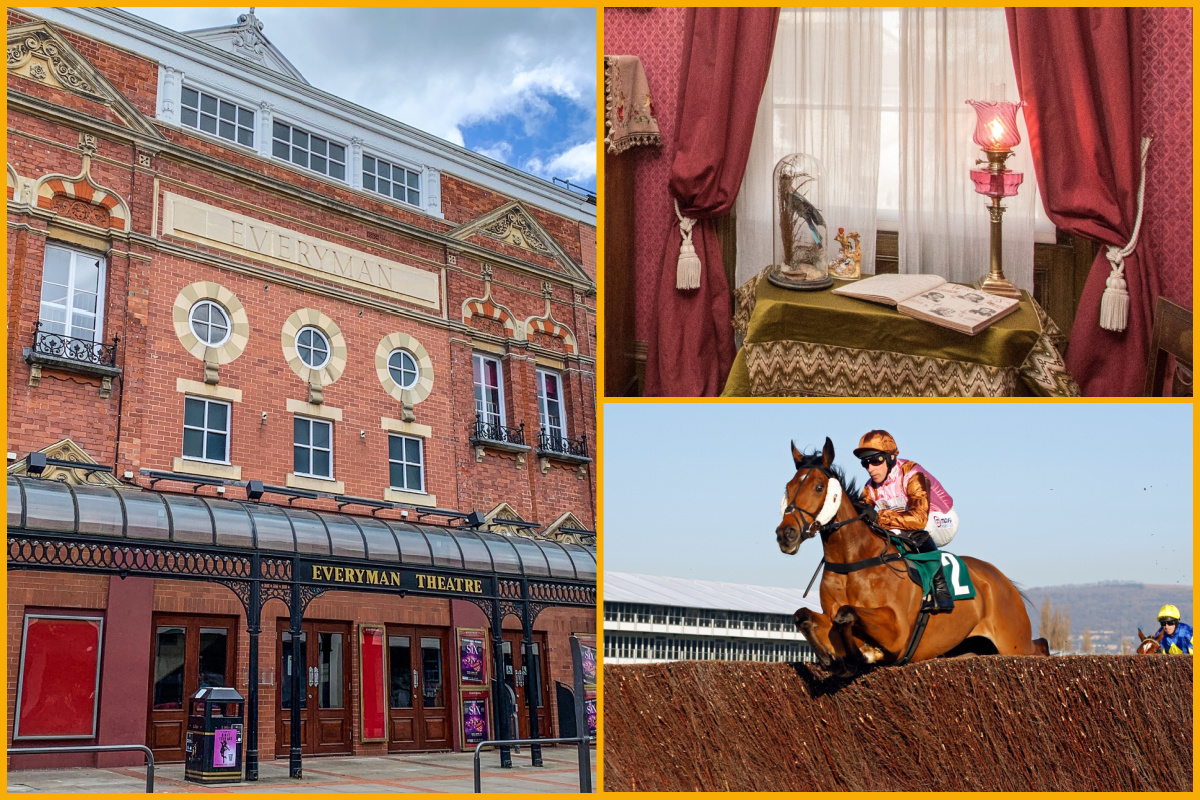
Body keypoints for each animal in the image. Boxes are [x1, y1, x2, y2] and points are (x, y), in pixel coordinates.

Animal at [772, 438, 1046, 676]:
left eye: (819, 487)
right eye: (787, 488)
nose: (786, 534)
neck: (852, 562)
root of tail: (1003, 581)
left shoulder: (898, 632)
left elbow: (846, 614)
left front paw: (858, 658)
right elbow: (803, 616)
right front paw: (834, 661)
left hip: (1014, 642)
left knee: (1039, 646)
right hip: (969, 650)